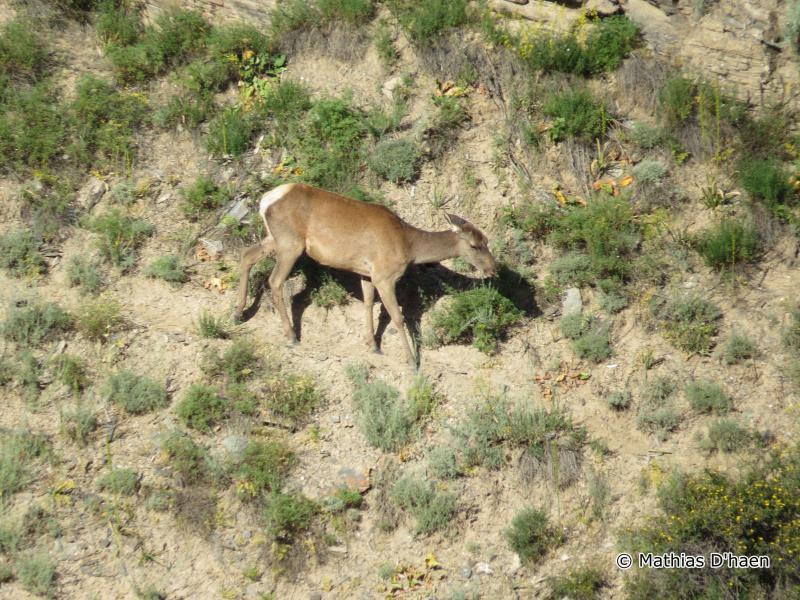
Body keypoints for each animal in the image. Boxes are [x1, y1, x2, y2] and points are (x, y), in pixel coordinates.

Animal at [235, 183, 498, 367]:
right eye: (475, 245)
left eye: (487, 239)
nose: (494, 269)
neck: (409, 246)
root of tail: (265, 200)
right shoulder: (384, 274)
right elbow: (398, 317)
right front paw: (412, 362)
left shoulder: (367, 273)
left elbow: (369, 303)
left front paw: (373, 345)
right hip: (289, 243)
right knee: (275, 281)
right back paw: (291, 335)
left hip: (275, 239)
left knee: (246, 255)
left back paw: (238, 314)